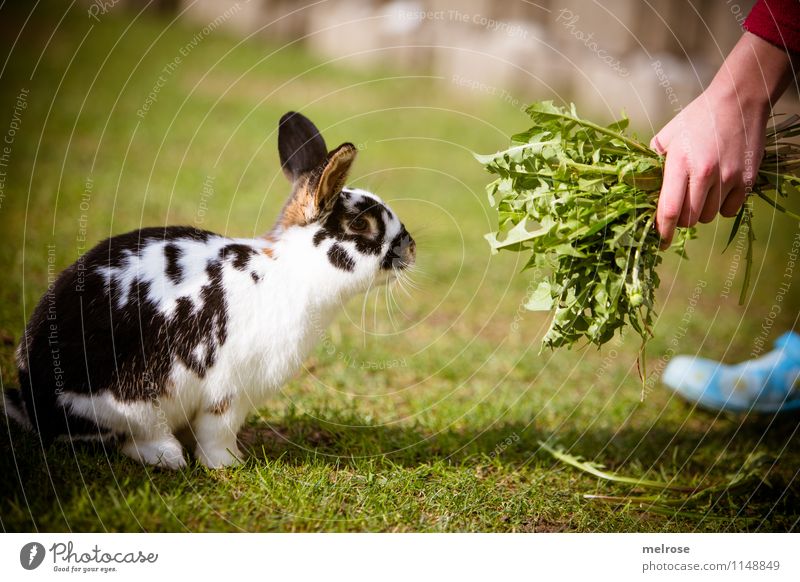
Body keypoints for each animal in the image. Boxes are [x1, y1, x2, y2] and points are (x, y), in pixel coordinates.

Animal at [4, 113, 418, 470]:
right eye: (361, 224)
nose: (411, 248)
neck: (290, 271)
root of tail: (33, 399)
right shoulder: (228, 392)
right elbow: (218, 432)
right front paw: (228, 464)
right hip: (132, 401)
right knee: (131, 437)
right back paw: (169, 457)